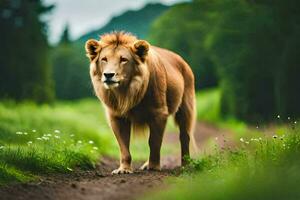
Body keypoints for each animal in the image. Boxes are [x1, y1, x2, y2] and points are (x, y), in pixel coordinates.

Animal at [85, 32, 197, 174]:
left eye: (123, 59)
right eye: (104, 59)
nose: (108, 75)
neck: (125, 92)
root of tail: (182, 60)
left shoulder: (159, 113)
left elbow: (154, 142)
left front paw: (153, 167)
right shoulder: (116, 116)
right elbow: (123, 145)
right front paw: (124, 169)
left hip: (186, 107)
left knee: (184, 136)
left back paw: (185, 165)